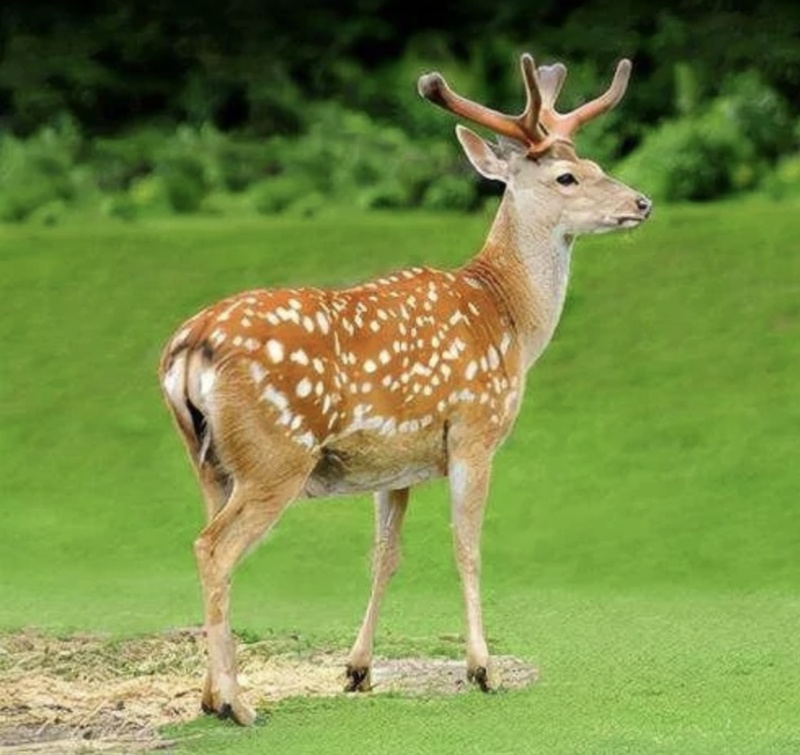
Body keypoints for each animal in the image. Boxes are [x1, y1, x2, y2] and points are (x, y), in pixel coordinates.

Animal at [158, 49, 651, 725]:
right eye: (567, 178)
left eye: (597, 165)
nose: (641, 202)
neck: (509, 318)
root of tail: (189, 348)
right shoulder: (473, 429)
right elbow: (468, 545)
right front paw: (482, 669)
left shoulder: (396, 463)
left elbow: (384, 556)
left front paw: (358, 670)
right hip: (275, 455)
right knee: (214, 549)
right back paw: (238, 704)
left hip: (210, 462)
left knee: (207, 543)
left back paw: (210, 697)